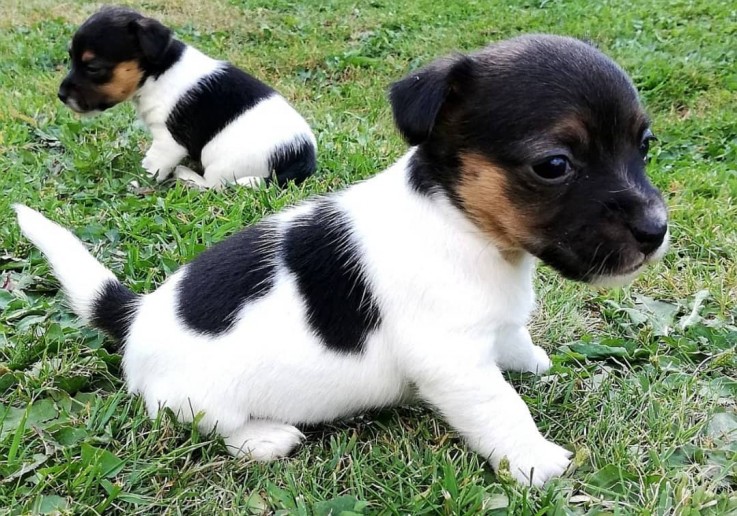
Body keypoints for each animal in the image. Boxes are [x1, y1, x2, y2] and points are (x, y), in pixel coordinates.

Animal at [17, 34, 668, 486]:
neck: (460, 222)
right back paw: (267, 438)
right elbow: (501, 408)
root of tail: (135, 316)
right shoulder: (453, 363)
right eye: (554, 165)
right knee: (211, 427)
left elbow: (512, 339)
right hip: (198, 403)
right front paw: (538, 461)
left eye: (644, 145)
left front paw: (530, 360)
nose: (656, 231)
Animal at [59, 6, 318, 188]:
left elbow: (151, 167)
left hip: (222, 164)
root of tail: (302, 156)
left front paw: (135, 182)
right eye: (70, 58)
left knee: (214, 187)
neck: (160, 71)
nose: (61, 95)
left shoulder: (168, 142)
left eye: (93, 67)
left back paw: (187, 176)